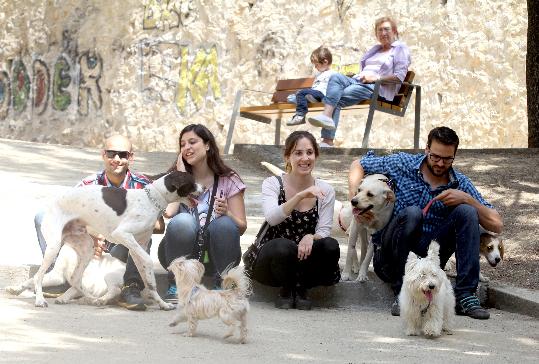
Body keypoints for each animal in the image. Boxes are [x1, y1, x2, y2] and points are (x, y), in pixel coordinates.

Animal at [30, 172, 202, 308]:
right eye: (192, 182)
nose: (204, 187)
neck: (152, 199)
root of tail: (54, 202)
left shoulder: (137, 247)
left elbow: (149, 281)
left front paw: (162, 304)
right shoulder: (123, 234)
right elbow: (148, 261)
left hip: (87, 248)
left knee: (75, 280)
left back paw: (89, 298)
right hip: (54, 246)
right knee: (38, 276)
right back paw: (40, 300)